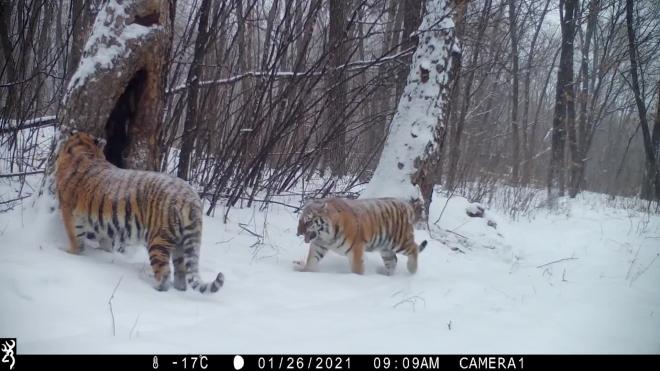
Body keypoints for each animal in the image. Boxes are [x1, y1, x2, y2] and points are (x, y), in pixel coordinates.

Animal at [296, 198, 428, 276]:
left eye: (308, 221)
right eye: (300, 220)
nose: (298, 233)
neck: (326, 236)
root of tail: (407, 206)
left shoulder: (356, 248)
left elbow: (357, 268)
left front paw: (358, 279)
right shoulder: (319, 245)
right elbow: (311, 260)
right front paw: (306, 272)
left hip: (399, 241)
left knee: (414, 248)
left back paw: (412, 270)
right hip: (385, 248)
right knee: (393, 261)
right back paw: (387, 276)